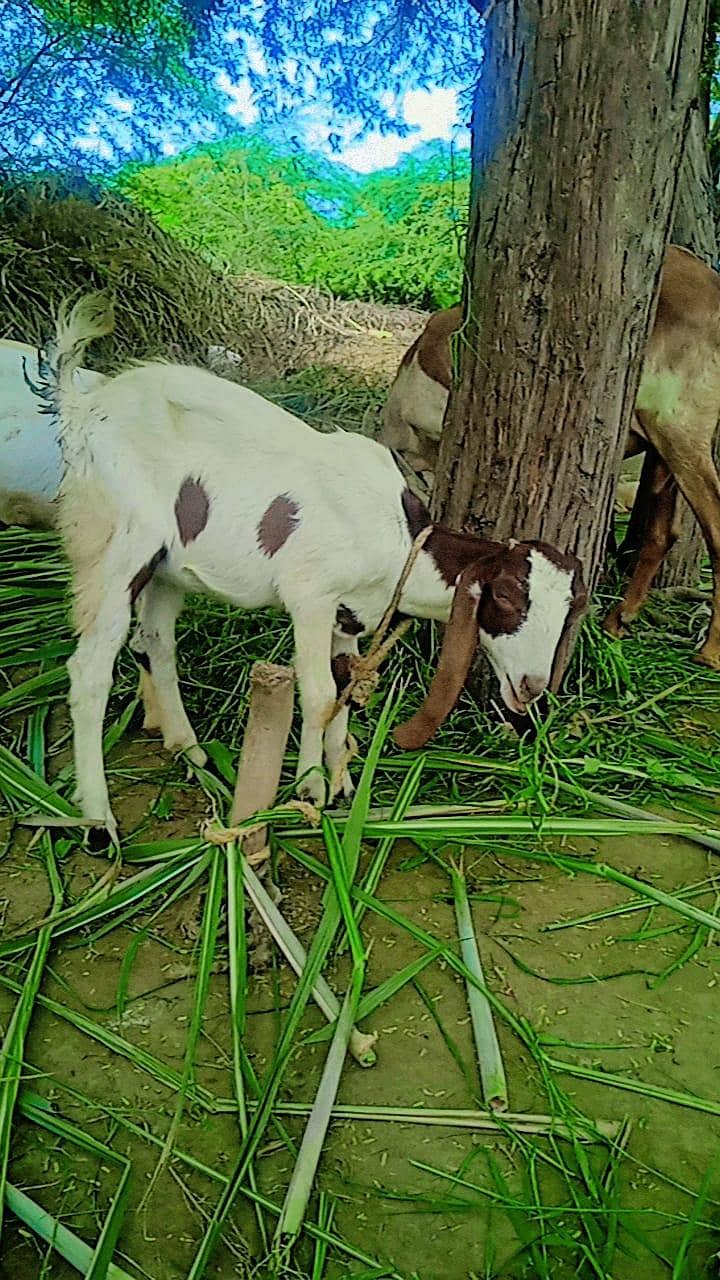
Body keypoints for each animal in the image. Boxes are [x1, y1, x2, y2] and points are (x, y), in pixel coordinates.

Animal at [40, 296, 586, 841]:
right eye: (507, 595)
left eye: (567, 611)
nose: (533, 687)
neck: (397, 537)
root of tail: (84, 408)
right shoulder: (311, 596)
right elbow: (320, 693)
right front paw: (310, 788)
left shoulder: (350, 616)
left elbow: (345, 688)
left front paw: (342, 783)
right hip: (118, 541)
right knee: (91, 669)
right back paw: (98, 817)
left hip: (167, 567)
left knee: (153, 645)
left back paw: (190, 751)